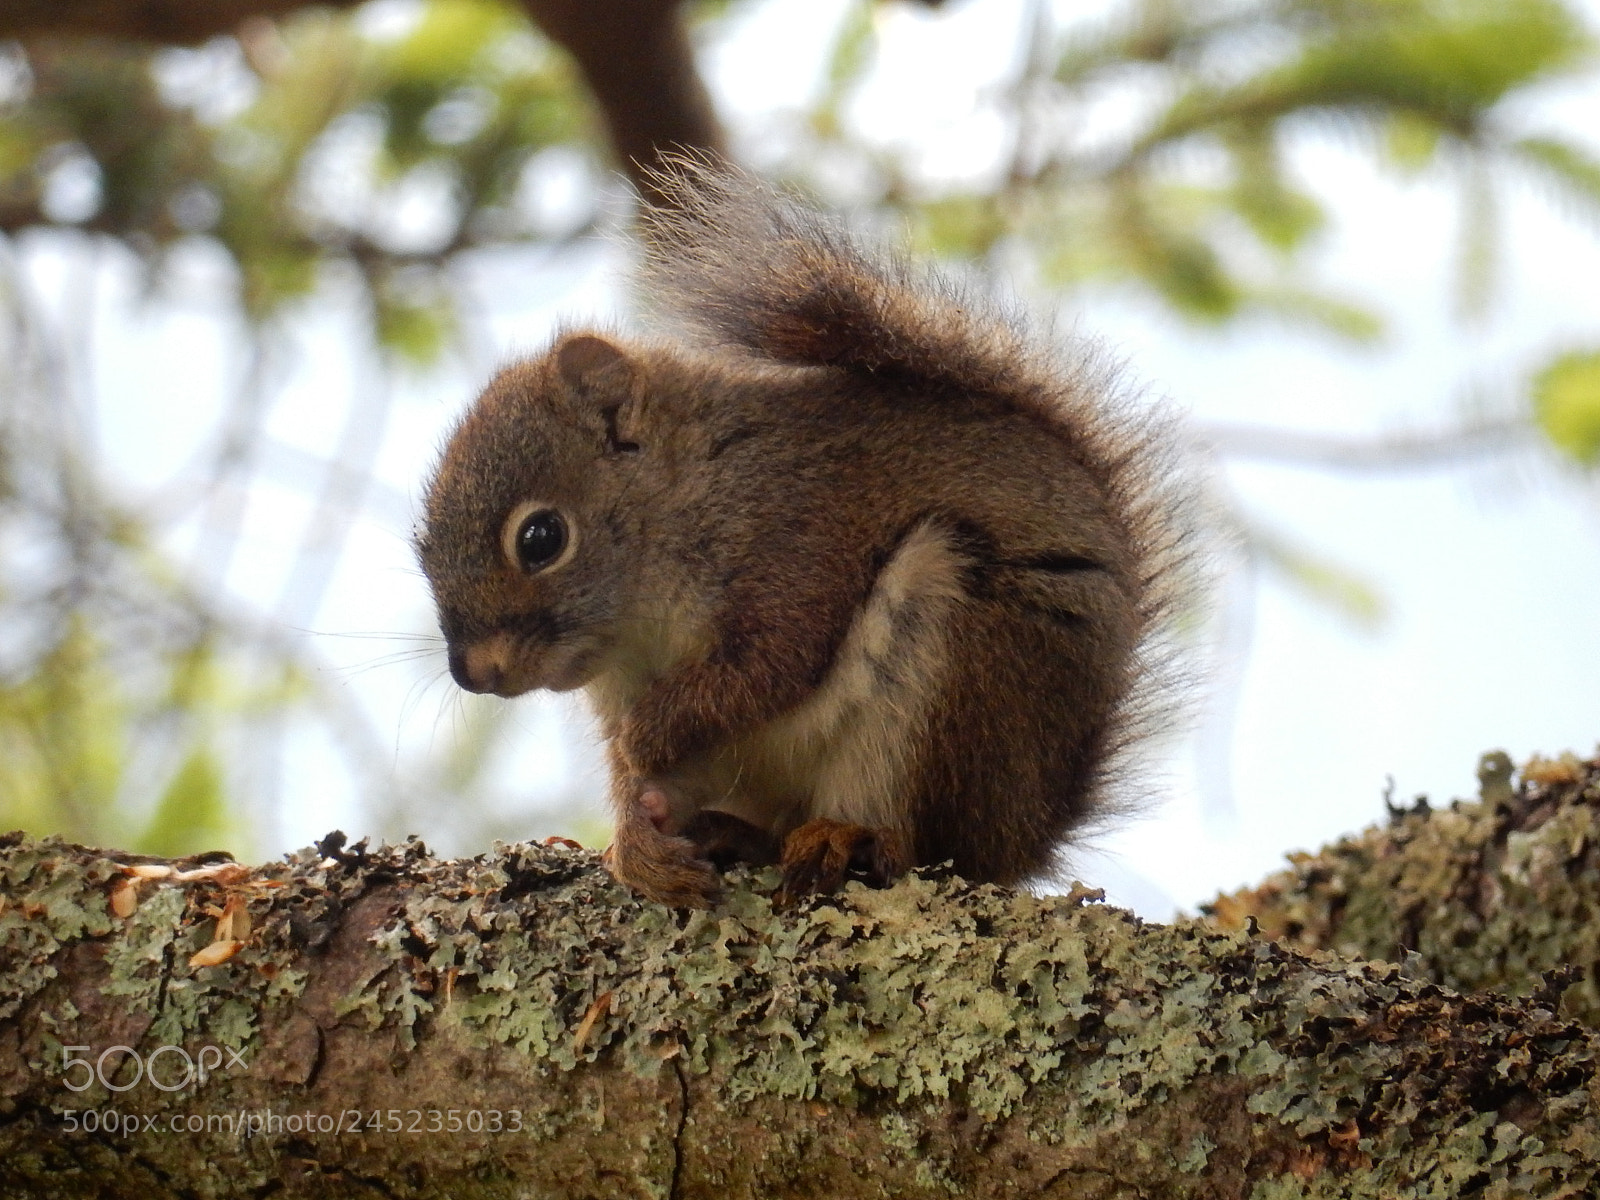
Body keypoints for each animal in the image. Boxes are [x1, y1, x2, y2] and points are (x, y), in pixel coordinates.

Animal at [417, 161, 1189, 907]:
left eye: (541, 538)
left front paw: (650, 735)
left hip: (963, 666)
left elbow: (767, 666)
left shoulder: (801, 541)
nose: (474, 673)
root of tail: (1027, 835)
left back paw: (846, 837)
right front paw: (636, 839)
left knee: (919, 839)